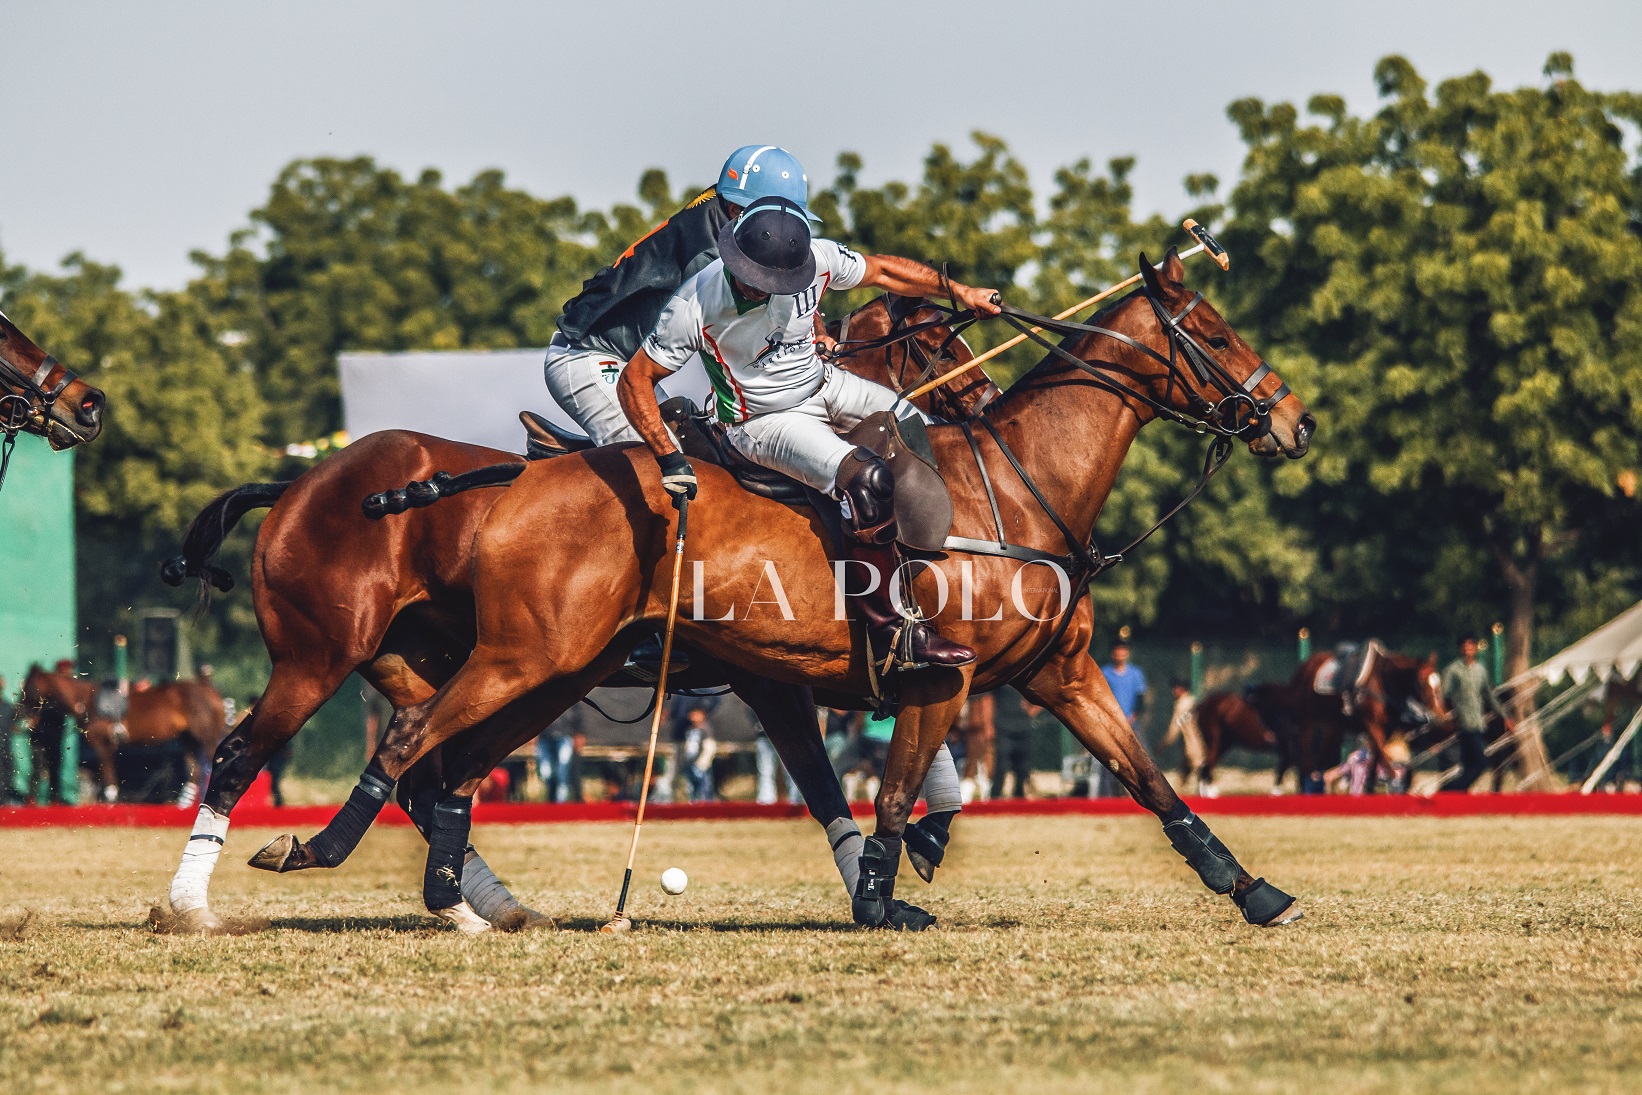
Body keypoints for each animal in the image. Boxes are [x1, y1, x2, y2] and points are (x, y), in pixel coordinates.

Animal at [21, 663, 228, 801]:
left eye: (27, 687)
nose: (24, 715)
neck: (84, 700)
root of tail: (213, 693)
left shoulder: (101, 743)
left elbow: (108, 776)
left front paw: (110, 802)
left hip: (206, 739)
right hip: (188, 739)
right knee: (195, 773)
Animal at [156, 293, 985, 932]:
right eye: (939, 341)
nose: (980, 397)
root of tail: (296, 484)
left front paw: (918, 846)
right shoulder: (770, 674)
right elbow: (839, 770)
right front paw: (903, 861)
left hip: (434, 661)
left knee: (426, 770)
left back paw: (479, 906)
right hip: (320, 655)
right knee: (244, 754)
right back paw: (194, 903)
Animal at [298, 251, 1307, 932]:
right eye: (1216, 333)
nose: (1294, 422)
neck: (1021, 487)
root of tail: (519, 477)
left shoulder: (1061, 671)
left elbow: (1150, 778)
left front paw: (1255, 888)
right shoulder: (940, 677)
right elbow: (896, 795)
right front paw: (883, 899)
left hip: (555, 665)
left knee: (455, 763)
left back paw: (448, 893)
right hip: (523, 654)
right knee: (413, 738)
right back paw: (317, 847)